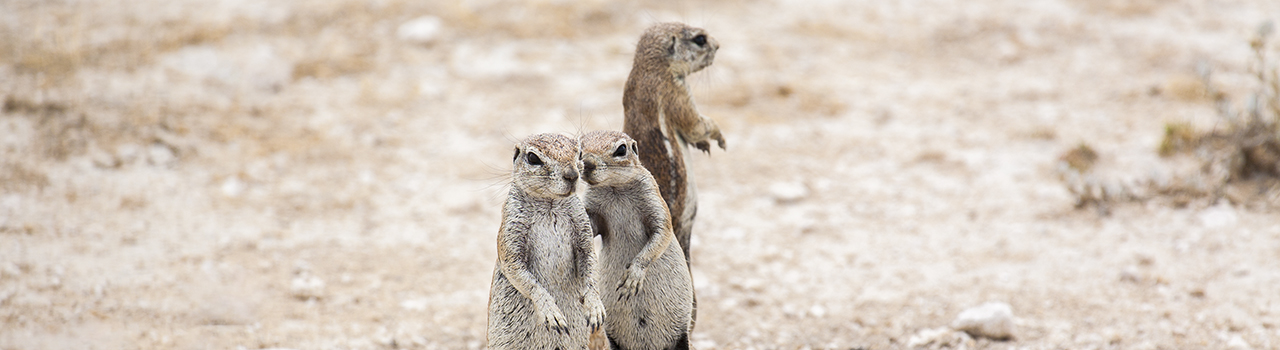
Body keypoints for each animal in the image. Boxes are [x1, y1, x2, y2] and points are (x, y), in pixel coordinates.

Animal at [488, 132, 609, 346]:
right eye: (532, 158)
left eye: (579, 153)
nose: (572, 175)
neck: (550, 203)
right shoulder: (511, 231)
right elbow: (521, 274)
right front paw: (551, 312)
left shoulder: (582, 225)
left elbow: (590, 262)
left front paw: (595, 307)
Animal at [583, 130, 696, 348]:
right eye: (578, 146)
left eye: (621, 149)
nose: (587, 163)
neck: (614, 188)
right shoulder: (594, 211)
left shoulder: (653, 201)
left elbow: (661, 233)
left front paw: (633, 276)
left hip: (681, 336)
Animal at [624, 21, 727, 264]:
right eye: (700, 39)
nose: (718, 45)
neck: (649, 68)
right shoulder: (678, 93)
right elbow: (696, 125)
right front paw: (719, 138)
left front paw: (704, 146)